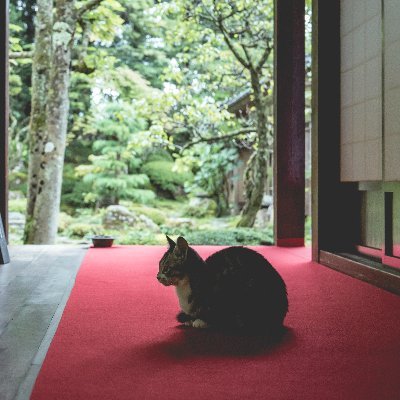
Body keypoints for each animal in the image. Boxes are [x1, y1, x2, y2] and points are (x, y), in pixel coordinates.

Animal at [156, 236, 288, 332]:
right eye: (159, 266)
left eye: (166, 269)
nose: (157, 276)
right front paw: (190, 319)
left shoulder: (224, 297)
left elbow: (217, 316)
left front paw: (201, 321)